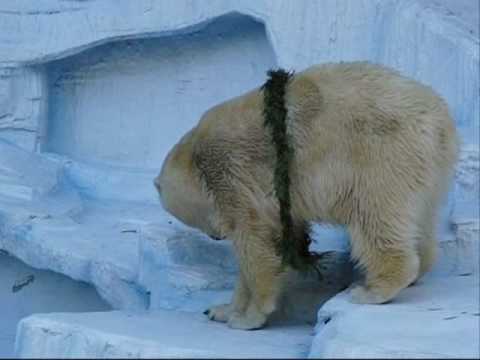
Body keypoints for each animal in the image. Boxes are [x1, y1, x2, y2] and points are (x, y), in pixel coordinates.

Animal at [156, 62, 460, 330]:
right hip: (427, 170)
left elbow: (256, 245)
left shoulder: (231, 173)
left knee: (374, 217)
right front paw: (220, 310)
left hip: (380, 156)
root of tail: (440, 120)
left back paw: (372, 289)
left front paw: (247, 318)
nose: (217, 235)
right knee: (419, 217)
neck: (196, 152)